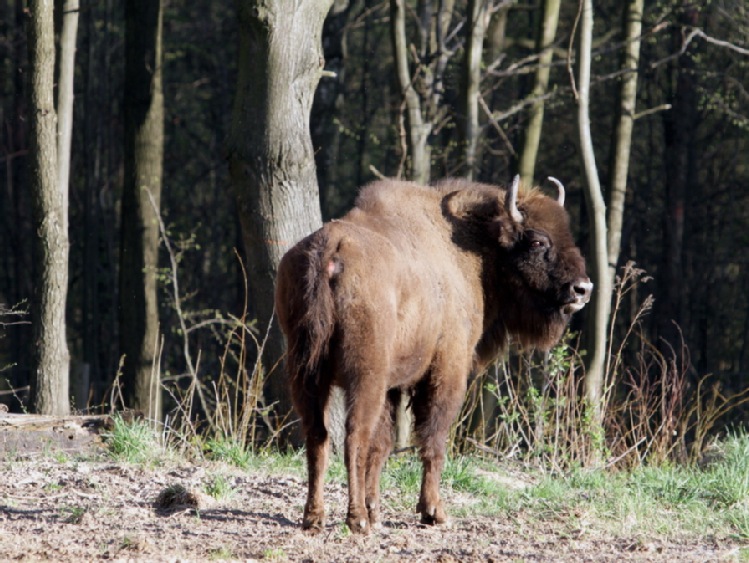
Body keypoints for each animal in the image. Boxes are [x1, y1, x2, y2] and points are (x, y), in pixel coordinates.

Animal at [274, 175, 592, 532]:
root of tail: (331, 249)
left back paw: (315, 517)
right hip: (363, 376)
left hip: (305, 370)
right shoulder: (446, 371)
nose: (582, 289)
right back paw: (357, 520)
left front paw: (377, 509)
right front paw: (432, 512)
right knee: (353, 437)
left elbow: (383, 446)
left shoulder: (394, 384)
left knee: (318, 435)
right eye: (537, 241)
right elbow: (433, 440)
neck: (471, 247)